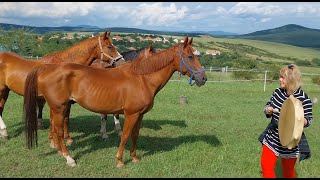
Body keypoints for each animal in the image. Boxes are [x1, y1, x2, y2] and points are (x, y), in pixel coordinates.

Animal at [23, 36, 206, 167]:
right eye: (190, 56)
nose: (203, 78)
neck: (142, 78)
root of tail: (46, 67)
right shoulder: (131, 114)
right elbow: (124, 135)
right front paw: (119, 160)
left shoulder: (140, 115)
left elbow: (135, 135)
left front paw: (134, 158)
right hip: (59, 108)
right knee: (59, 132)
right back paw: (69, 159)